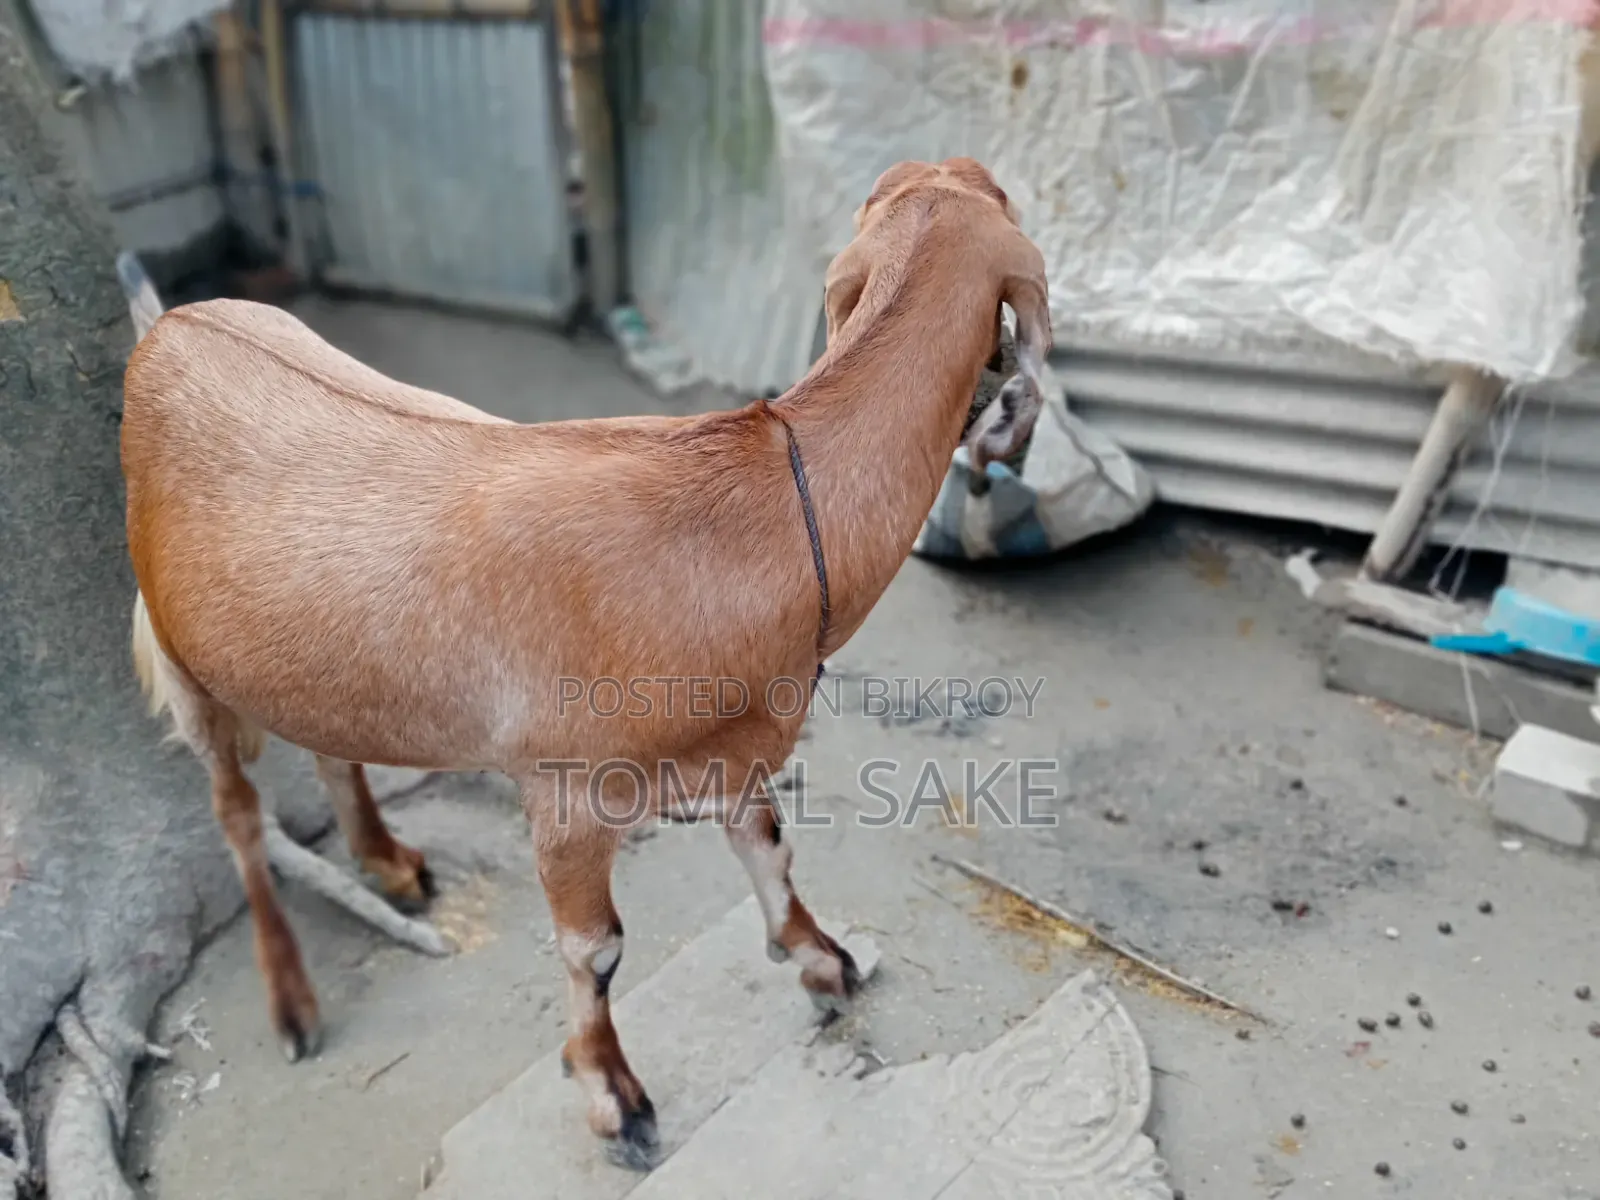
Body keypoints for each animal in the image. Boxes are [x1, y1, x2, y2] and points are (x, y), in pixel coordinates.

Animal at [120, 156, 1051, 1170]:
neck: (757, 509)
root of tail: (166, 326)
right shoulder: (565, 793)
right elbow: (595, 950)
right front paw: (614, 1097)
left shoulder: (731, 746)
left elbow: (770, 846)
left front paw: (821, 960)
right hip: (180, 655)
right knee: (237, 815)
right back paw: (292, 999)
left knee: (328, 742)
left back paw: (386, 862)